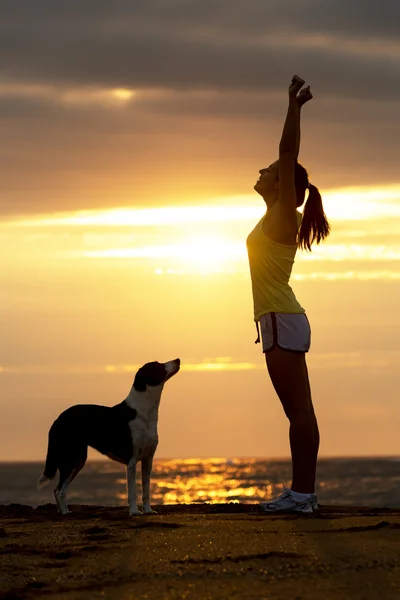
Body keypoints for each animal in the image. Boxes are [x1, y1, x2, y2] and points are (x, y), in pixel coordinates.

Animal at [36, 358, 180, 516]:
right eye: (157, 365)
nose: (178, 359)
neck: (145, 411)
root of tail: (58, 419)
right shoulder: (131, 460)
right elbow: (132, 491)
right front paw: (134, 512)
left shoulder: (148, 459)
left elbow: (146, 490)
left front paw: (148, 511)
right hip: (71, 457)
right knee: (59, 489)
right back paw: (66, 513)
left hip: (78, 459)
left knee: (59, 489)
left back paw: (65, 511)